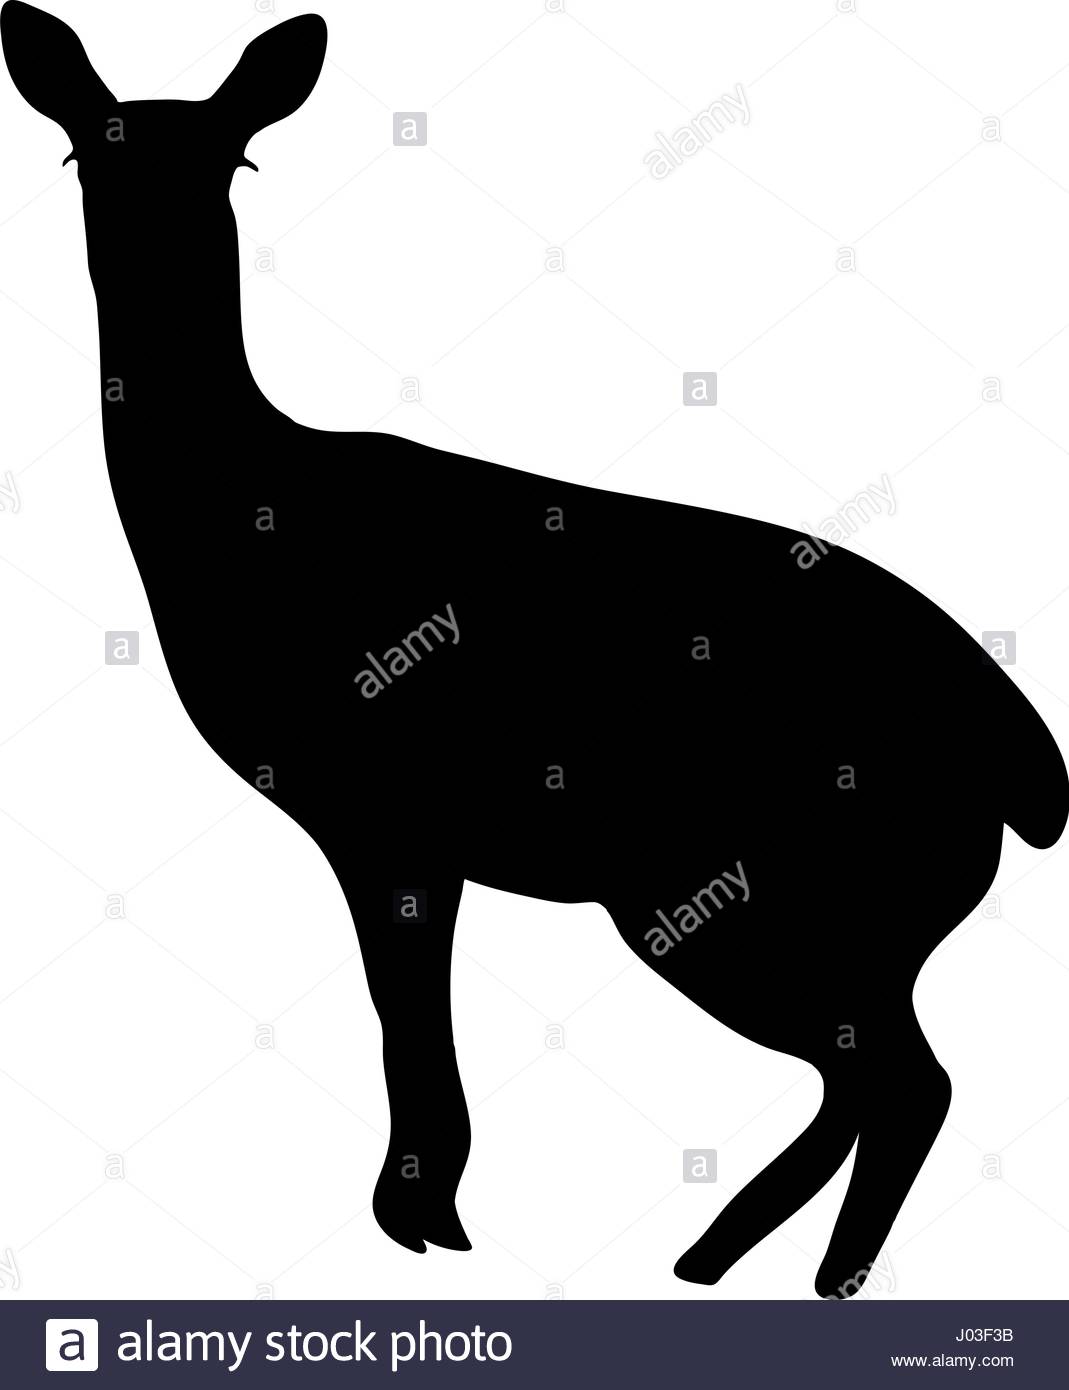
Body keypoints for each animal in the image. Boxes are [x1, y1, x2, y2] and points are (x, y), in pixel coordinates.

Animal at [3, 2, 1065, 1298]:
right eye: (80, 155)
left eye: (236, 162)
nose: (148, 247)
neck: (243, 518)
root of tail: (1030, 780)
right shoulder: (407, 830)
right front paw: (430, 1209)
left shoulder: (384, 811)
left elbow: (400, 1003)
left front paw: (422, 1216)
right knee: (874, 1072)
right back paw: (715, 1255)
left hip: (732, 893)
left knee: (904, 1074)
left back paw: (787, 1272)